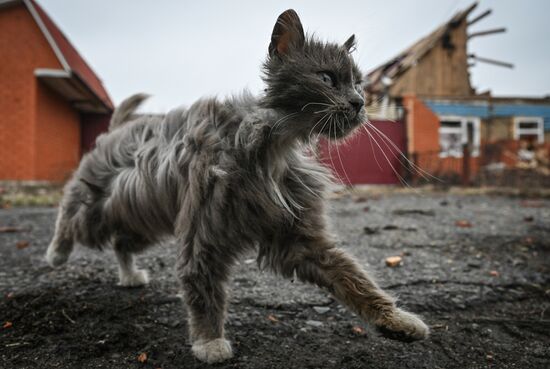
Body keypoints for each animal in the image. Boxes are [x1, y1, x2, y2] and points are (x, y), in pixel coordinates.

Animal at [45, 8, 430, 362]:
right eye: (327, 78)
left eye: (358, 83)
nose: (359, 103)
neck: (274, 146)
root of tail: (119, 128)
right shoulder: (203, 232)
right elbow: (201, 284)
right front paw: (208, 340)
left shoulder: (300, 239)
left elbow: (353, 278)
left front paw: (395, 319)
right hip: (97, 210)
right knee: (70, 212)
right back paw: (56, 253)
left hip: (144, 221)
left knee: (121, 243)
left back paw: (128, 274)